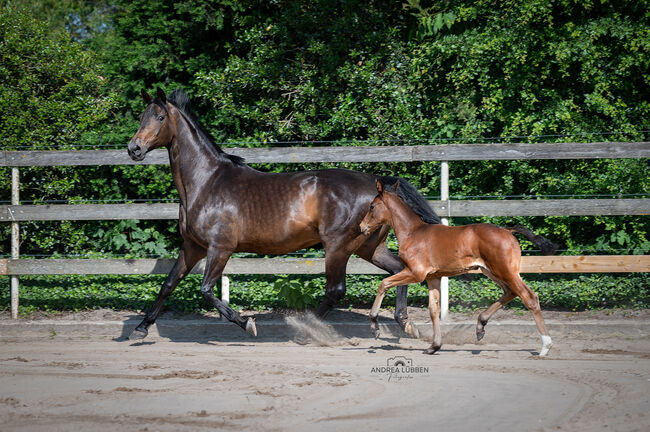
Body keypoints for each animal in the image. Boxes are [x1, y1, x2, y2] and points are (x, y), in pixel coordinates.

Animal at [356, 181, 556, 356]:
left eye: (372, 206)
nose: (361, 227)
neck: (413, 233)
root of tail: (508, 231)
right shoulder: (433, 277)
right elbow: (433, 309)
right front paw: (434, 347)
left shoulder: (415, 273)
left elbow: (383, 283)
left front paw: (374, 327)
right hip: (491, 271)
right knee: (510, 292)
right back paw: (480, 326)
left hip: (504, 271)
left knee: (529, 297)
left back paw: (545, 346)